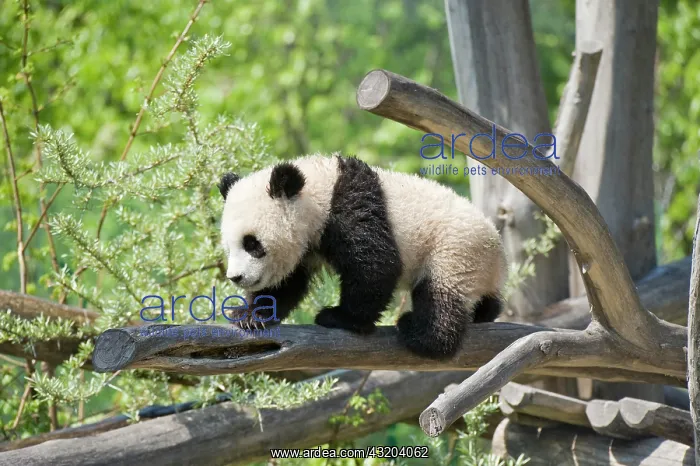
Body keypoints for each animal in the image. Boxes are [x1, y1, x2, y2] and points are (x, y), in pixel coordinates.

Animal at [218, 154, 507, 360]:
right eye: (230, 247)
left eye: (252, 244)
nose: (236, 277)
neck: (319, 190)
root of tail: (497, 251)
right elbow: (288, 282)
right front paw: (250, 315)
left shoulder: (350, 208)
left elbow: (376, 265)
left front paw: (340, 318)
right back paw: (485, 311)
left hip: (454, 248)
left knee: (441, 295)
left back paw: (421, 334)